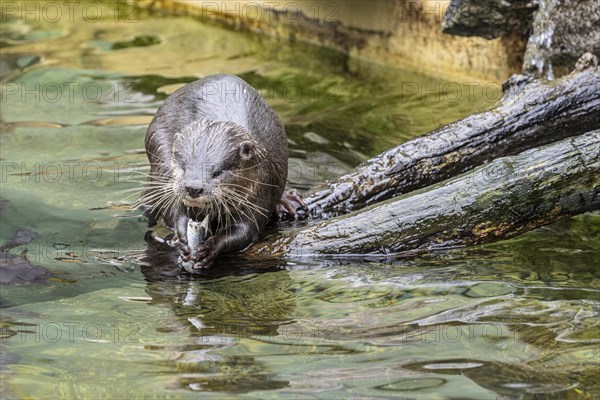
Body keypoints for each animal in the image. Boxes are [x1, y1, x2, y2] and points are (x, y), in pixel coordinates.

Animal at [141, 73, 304, 270]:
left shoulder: (260, 193)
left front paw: (210, 248)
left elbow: (245, 231)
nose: (193, 188)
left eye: (218, 172)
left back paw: (288, 201)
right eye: (182, 166)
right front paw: (181, 238)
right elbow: (174, 212)